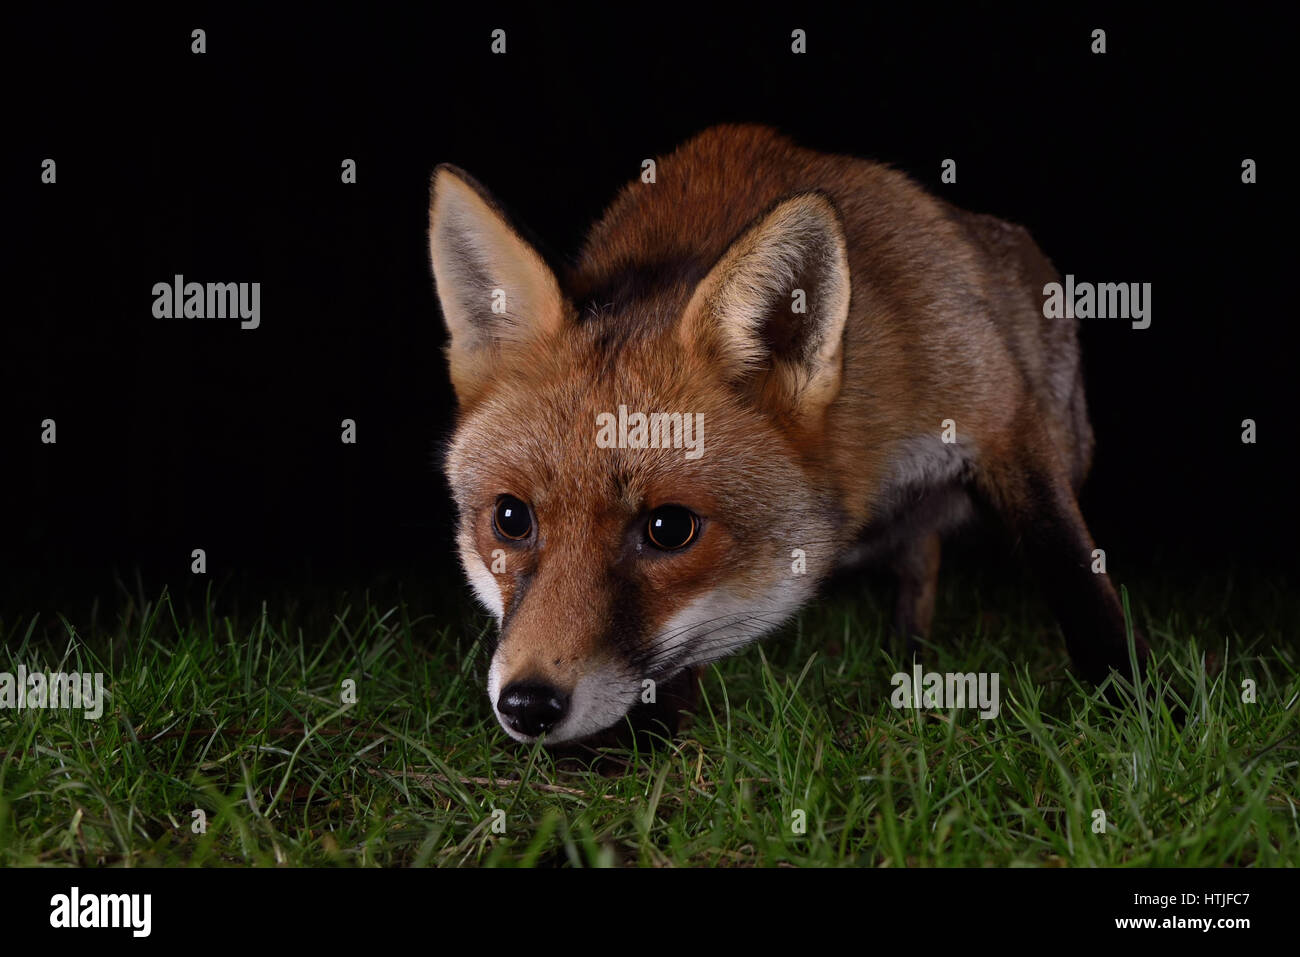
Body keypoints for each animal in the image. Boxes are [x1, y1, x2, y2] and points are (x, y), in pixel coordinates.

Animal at [426, 123, 1149, 743]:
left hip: (1068, 441)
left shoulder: (998, 416)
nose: (528, 704)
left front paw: (1128, 702)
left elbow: (1072, 570)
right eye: (511, 518)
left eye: (669, 528)